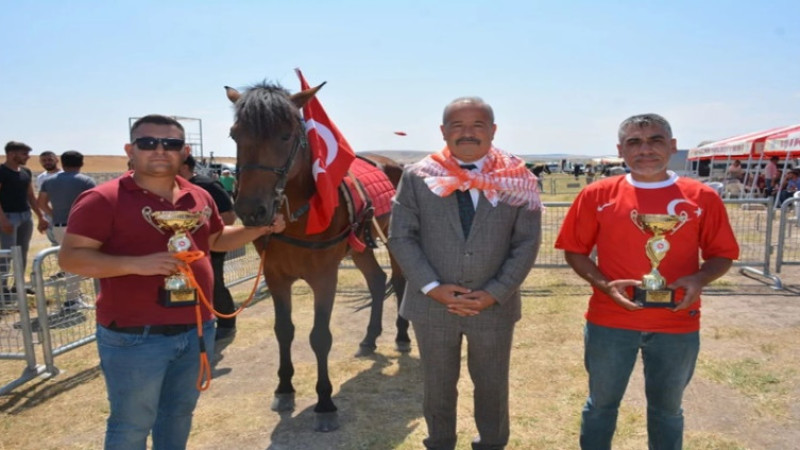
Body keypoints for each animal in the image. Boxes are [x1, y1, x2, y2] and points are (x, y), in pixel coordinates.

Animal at [227, 81, 410, 432]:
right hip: (360, 247)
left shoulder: (325, 277)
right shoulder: (275, 276)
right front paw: (284, 389)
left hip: (395, 243)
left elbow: (320, 337)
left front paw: (325, 403)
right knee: (377, 281)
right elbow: (284, 331)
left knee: (398, 281)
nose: (252, 210)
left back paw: (402, 334)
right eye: (234, 135)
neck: (300, 216)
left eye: (286, 135)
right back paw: (369, 339)